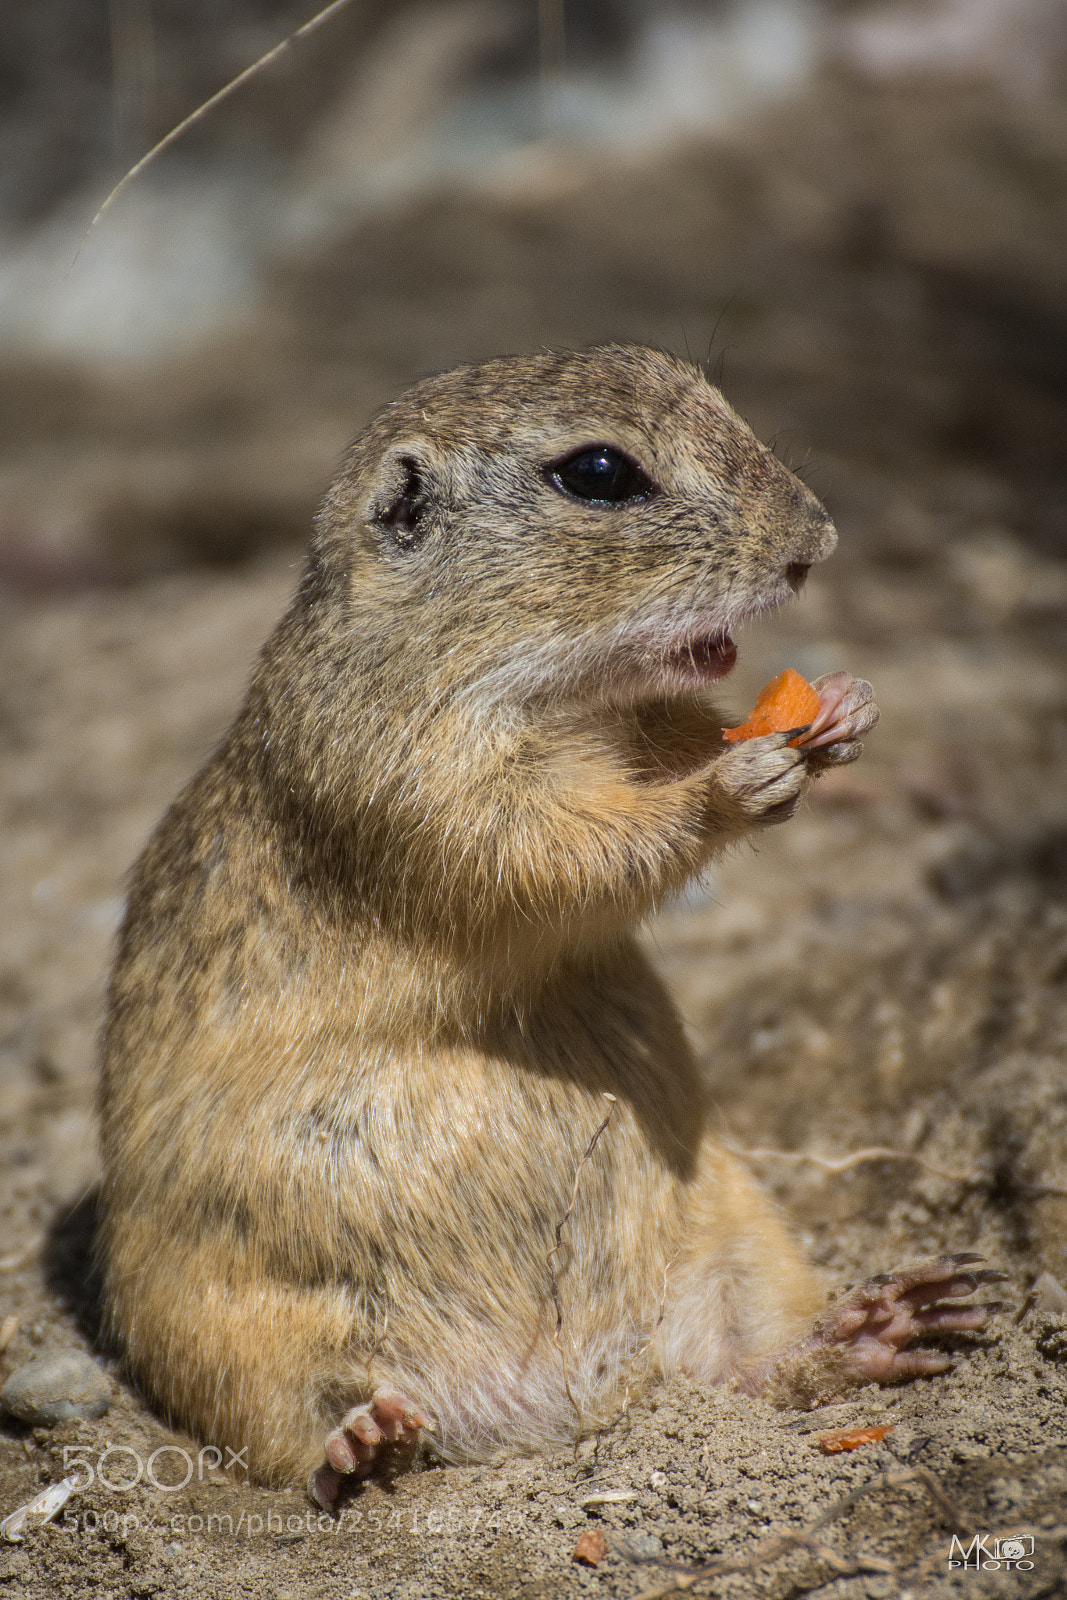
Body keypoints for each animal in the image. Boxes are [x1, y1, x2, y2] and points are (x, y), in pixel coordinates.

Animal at [98, 344, 1004, 1504]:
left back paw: (879, 1327)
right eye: (599, 473)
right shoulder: (417, 782)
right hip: (218, 1330)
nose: (817, 541)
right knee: (296, 1431)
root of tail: (555, 1403)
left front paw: (842, 708)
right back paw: (364, 1441)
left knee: (749, 1373)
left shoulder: (642, 723)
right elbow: (563, 849)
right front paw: (734, 784)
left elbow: (681, 742)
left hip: (745, 1236)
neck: (556, 694)